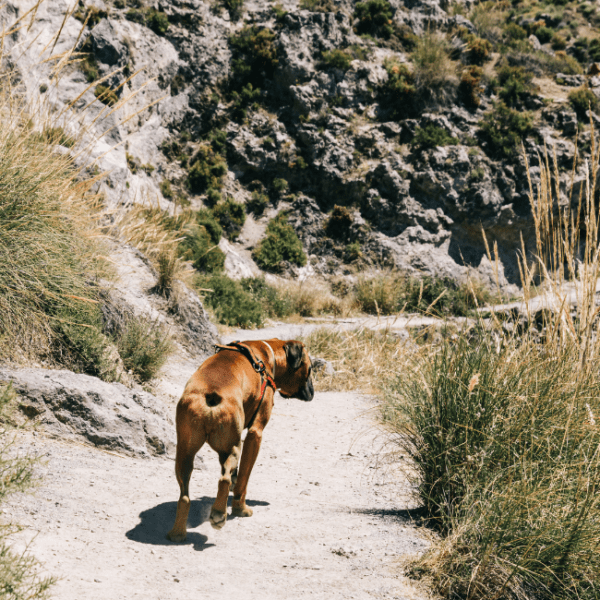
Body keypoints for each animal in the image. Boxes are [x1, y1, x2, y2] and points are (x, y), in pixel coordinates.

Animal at [165, 338, 312, 540]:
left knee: (185, 496)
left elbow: (236, 477)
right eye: (311, 369)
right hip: (233, 448)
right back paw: (219, 514)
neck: (269, 354)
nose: (312, 391)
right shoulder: (255, 435)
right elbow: (243, 478)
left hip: (185, 454)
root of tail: (211, 394)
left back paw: (177, 532)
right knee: (224, 480)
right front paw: (240, 508)